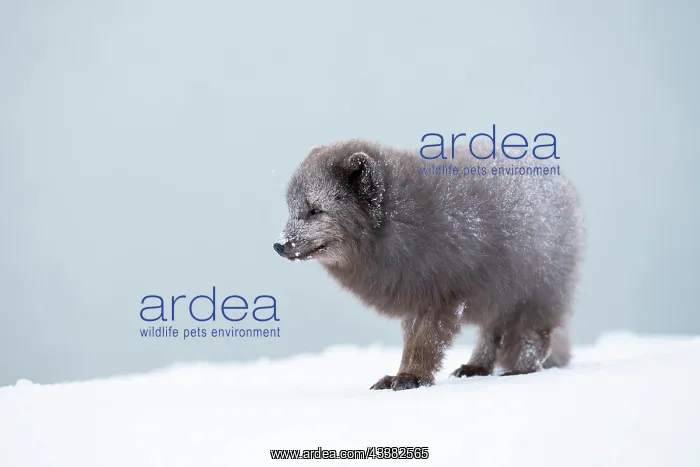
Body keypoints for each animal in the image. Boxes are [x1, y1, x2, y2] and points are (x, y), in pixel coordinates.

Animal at [273, 138, 585, 391]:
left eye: (315, 210)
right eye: (291, 209)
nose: (278, 245)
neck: (404, 220)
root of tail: (563, 183)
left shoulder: (443, 296)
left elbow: (426, 343)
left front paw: (411, 378)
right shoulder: (415, 297)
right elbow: (411, 343)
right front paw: (401, 374)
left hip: (536, 295)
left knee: (535, 338)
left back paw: (520, 371)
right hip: (498, 300)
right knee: (491, 334)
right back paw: (477, 366)